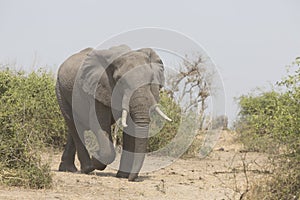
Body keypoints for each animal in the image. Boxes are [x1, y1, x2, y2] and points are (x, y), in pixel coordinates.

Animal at [55, 45, 171, 181]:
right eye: (121, 81)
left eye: (151, 79)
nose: (131, 179)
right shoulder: (98, 89)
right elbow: (99, 124)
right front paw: (96, 157)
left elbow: (131, 130)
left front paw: (122, 176)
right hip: (61, 91)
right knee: (73, 124)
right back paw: (86, 168)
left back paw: (68, 169)